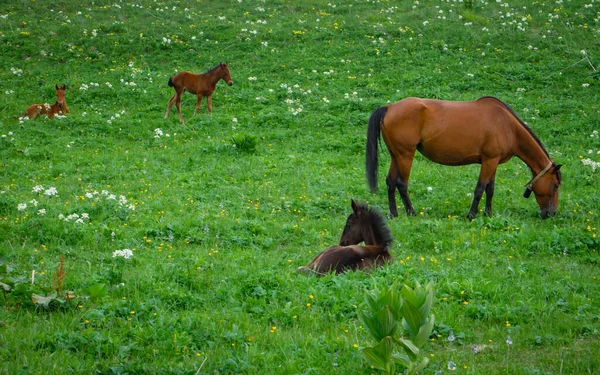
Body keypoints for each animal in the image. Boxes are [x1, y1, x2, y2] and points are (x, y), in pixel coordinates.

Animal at [366, 97, 564, 220]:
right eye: (555, 185)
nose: (552, 213)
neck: (506, 125)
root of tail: (389, 108)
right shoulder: (489, 161)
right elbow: (480, 189)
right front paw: (471, 215)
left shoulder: (493, 162)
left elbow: (490, 189)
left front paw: (488, 214)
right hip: (406, 155)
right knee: (401, 183)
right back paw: (411, 213)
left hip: (396, 156)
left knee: (391, 182)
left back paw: (393, 214)